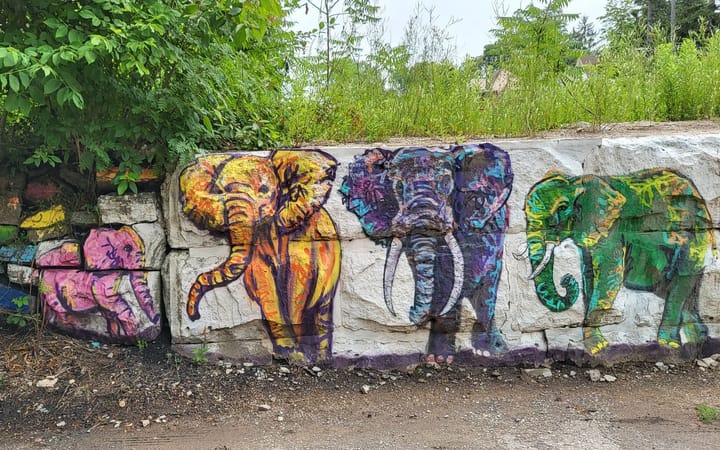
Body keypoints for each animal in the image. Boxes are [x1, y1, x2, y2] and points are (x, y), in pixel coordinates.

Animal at [338, 146, 512, 364]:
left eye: (446, 183)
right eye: (398, 186)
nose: (409, 311)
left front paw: (442, 358)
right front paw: (438, 358)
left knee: (487, 288)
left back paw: (490, 351)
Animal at [524, 167, 716, 354]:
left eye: (562, 207)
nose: (565, 279)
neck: (579, 181)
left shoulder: (611, 229)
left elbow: (609, 276)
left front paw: (597, 348)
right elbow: (589, 278)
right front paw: (596, 347)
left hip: (694, 240)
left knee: (681, 283)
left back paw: (670, 345)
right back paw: (697, 342)